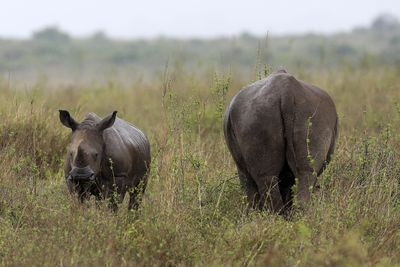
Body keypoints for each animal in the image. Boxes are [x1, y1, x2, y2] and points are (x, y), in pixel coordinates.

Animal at [223, 70, 340, 215]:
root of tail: (287, 92)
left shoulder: (241, 166)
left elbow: (249, 187)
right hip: (314, 116)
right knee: (306, 172)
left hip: (257, 116)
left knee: (266, 178)